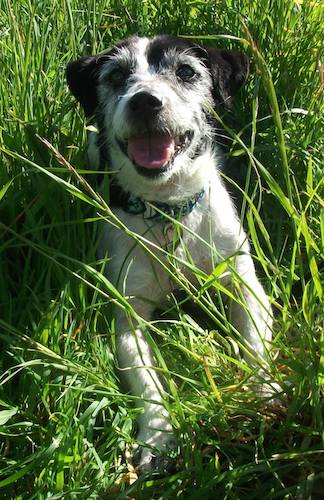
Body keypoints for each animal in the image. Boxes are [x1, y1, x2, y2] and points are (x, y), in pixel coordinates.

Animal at [67, 35, 274, 472]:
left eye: (186, 71)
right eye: (116, 76)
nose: (145, 101)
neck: (168, 209)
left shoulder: (243, 282)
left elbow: (255, 342)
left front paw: (265, 392)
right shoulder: (128, 312)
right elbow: (145, 379)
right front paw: (158, 436)